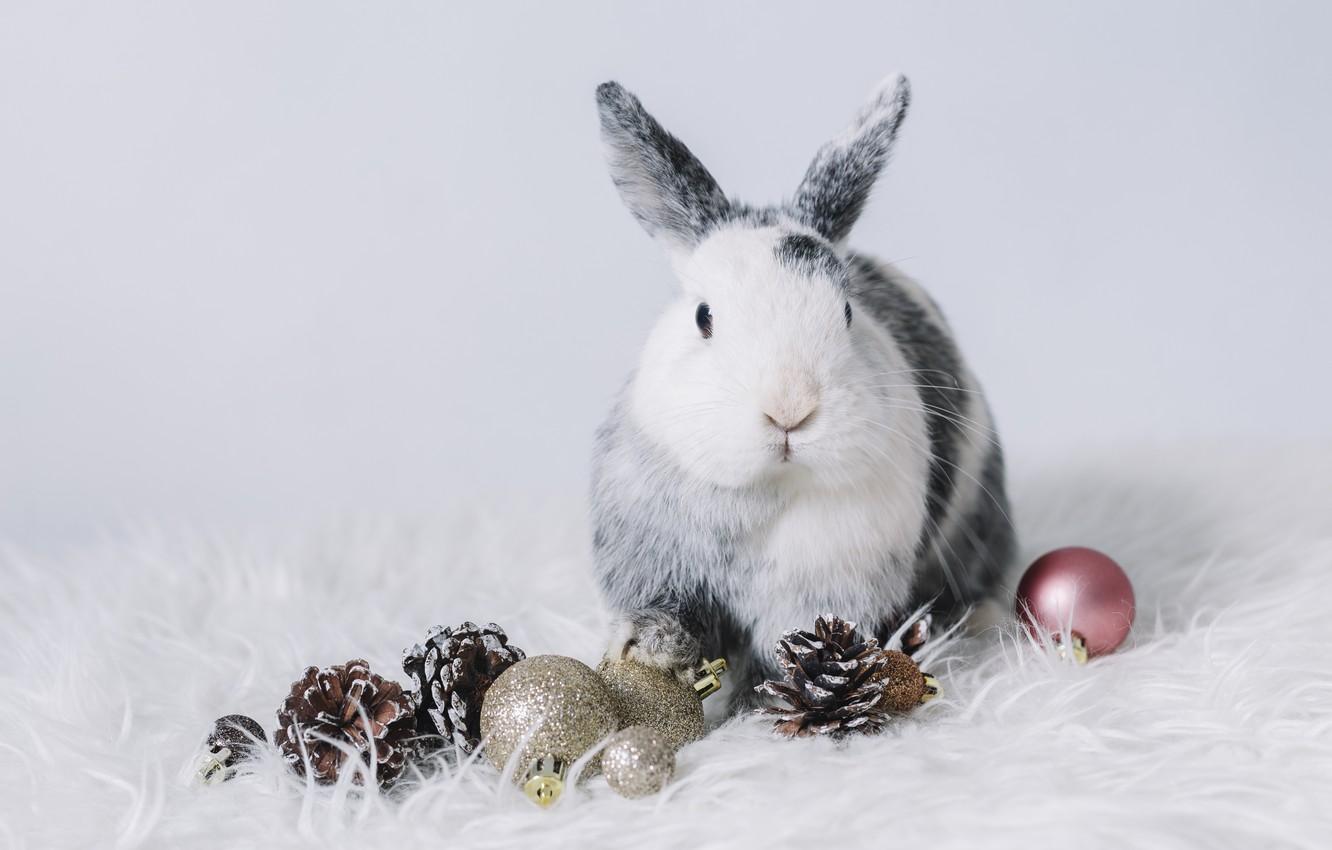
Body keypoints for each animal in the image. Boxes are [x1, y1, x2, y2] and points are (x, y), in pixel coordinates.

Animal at [590, 74, 1015, 711]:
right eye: (704, 316)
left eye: (846, 312)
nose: (789, 410)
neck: (765, 488)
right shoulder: (658, 566)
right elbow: (670, 616)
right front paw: (648, 651)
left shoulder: (823, 586)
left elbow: (782, 654)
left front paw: (756, 710)